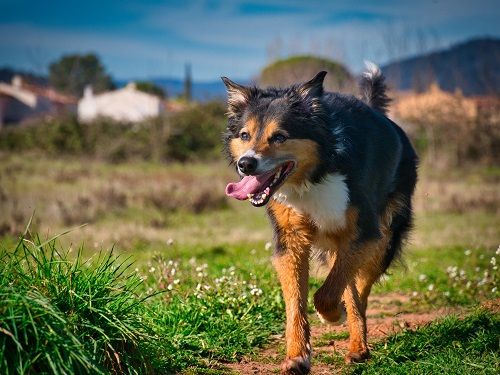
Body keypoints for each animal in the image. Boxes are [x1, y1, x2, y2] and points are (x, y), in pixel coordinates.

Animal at [222, 63, 418, 374]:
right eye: (244, 135)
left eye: (279, 136)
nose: (246, 164)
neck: (314, 175)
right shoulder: (291, 240)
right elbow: (295, 303)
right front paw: (297, 357)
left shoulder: (364, 232)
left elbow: (327, 294)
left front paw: (332, 315)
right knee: (349, 285)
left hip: (384, 237)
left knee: (359, 290)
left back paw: (358, 345)